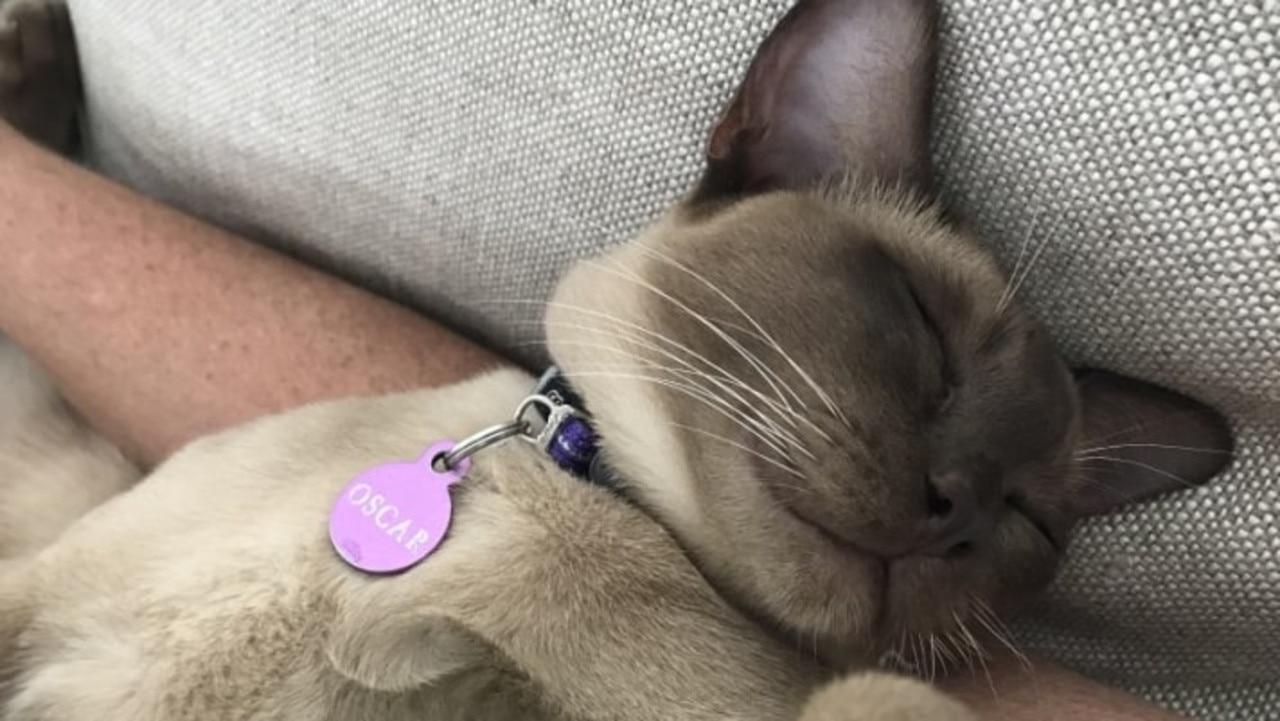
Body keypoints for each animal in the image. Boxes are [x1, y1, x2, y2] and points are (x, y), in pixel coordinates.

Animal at [0, 1, 1233, 721]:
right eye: (924, 329)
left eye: (1028, 521)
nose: (959, 504)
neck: (592, 505)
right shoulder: (39, 592)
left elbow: (874, 699)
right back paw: (32, 55)